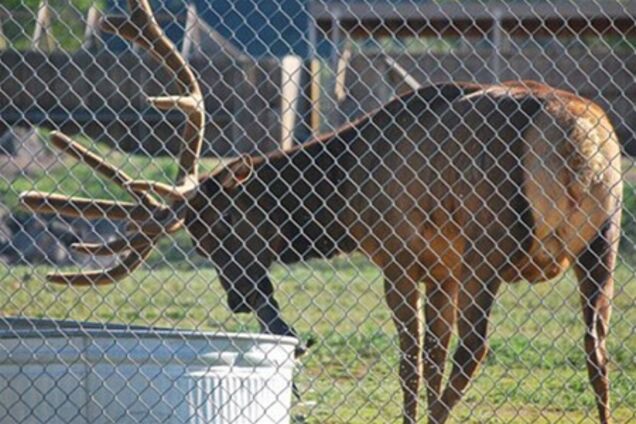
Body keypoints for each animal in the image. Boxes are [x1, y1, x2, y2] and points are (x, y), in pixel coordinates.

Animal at [19, 1, 620, 422]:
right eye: (200, 241)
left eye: (222, 225)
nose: (239, 299)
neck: (346, 195)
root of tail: (576, 140)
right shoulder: (440, 268)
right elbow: (429, 357)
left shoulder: (399, 255)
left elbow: (412, 360)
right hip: (600, 242)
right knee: (596, 351)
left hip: (487, 241)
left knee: (476, 349)